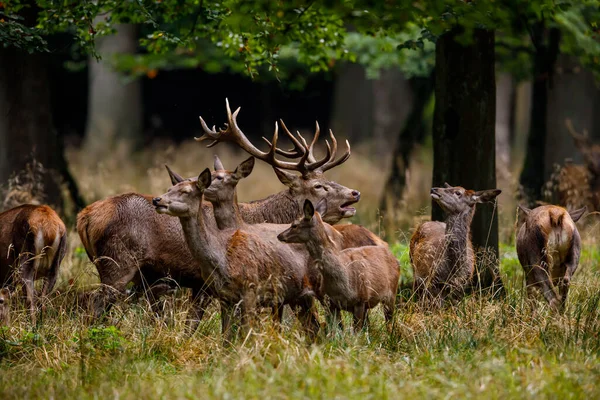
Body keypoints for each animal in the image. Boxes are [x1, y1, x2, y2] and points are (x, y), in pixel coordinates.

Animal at [155, 168, 324, 340]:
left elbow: (246, 333)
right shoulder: (224, 297)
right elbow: (226, 336)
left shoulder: (250, 289)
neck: (221, 257)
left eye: (185, 191)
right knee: (314, 327)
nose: (157, 200)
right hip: (299, 296)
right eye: (169, 189)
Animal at [278, 200, 400, 332]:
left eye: (294, 225)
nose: (279, 235)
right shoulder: (331, 303)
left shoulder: (360, 300)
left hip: (391, 295)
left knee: (389, 325)